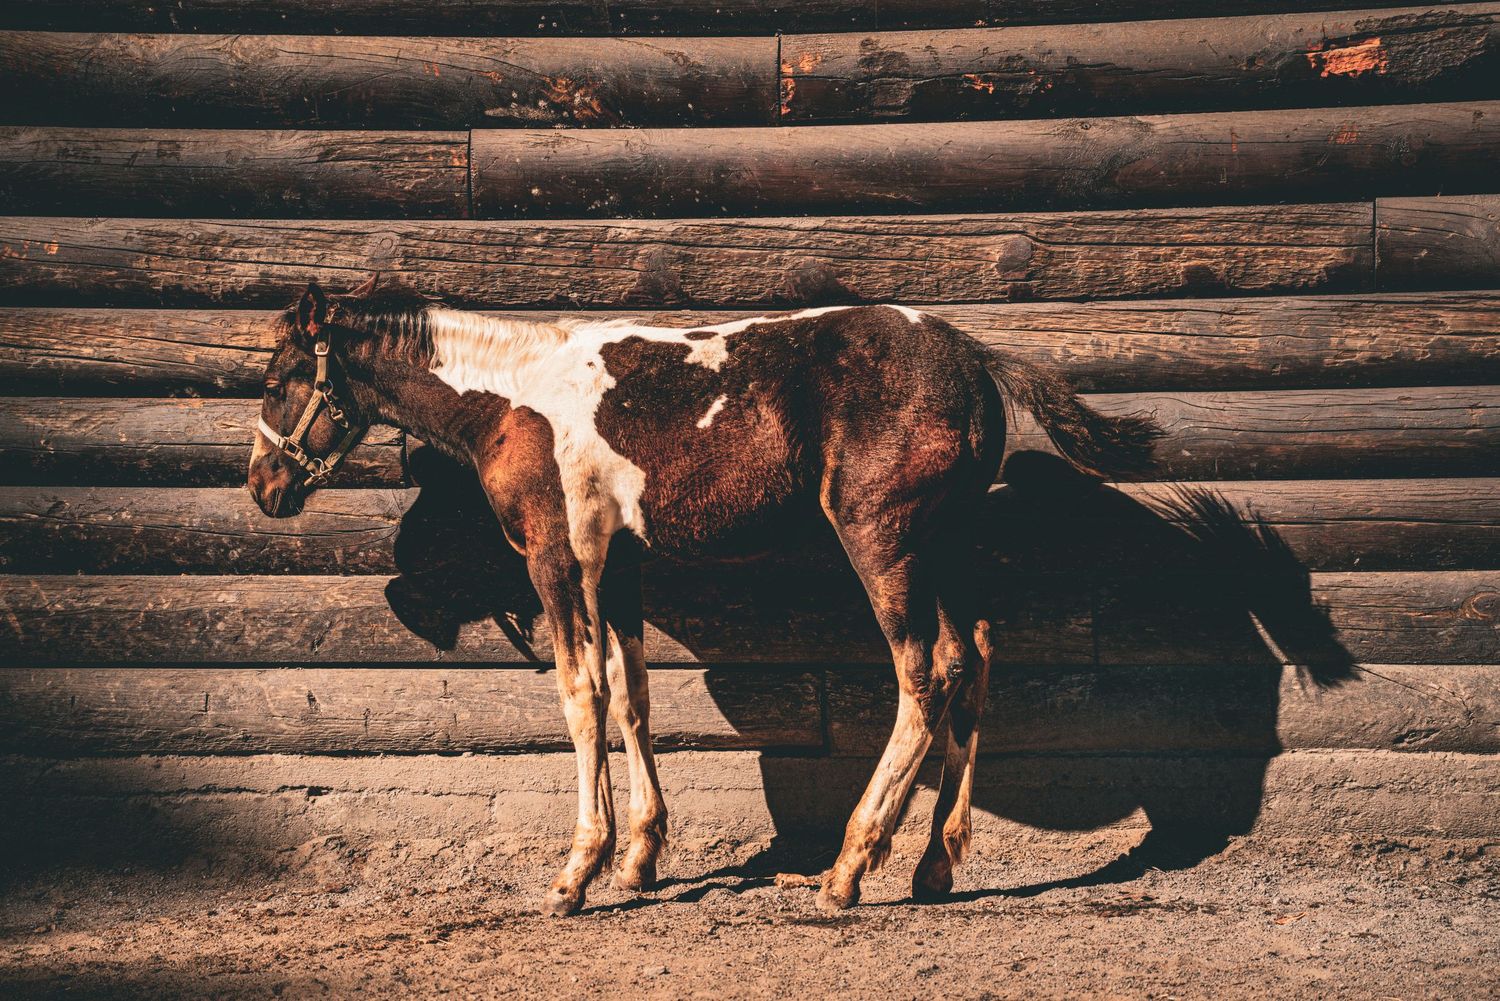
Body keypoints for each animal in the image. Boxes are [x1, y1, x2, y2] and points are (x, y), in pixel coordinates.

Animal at [247, 276, 1161, 915]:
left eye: (281, 377)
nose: (262, 486)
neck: (514, 396)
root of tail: (973, 356)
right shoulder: (618, 564)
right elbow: (632, 696)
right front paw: (639, 857)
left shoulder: (561, 559)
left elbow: (580, 696)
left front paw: (578, 870)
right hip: (945, 547)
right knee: (973, 657)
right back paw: (934, 861)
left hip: (883, 541)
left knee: (924, 672)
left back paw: (849, 867)